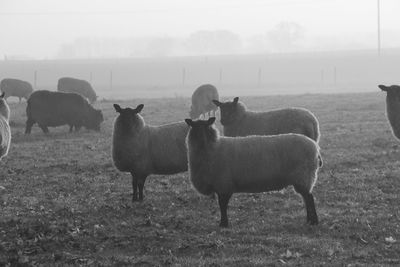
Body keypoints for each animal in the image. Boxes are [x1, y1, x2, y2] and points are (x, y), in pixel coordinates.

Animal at [184, 117, 322, 228]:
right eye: (194, 127)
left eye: (206, 127)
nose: (201, 141)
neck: (213, 148)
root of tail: (315, 148)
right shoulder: (222, 185)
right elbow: (222, 205)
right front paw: (224, 223)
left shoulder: (224, 184)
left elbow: (222, 205)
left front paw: (223, 224)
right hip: (303, 177)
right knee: (307, 198)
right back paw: (310, 221)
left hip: (303, 176)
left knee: (309, 198)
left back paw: (314, 221)